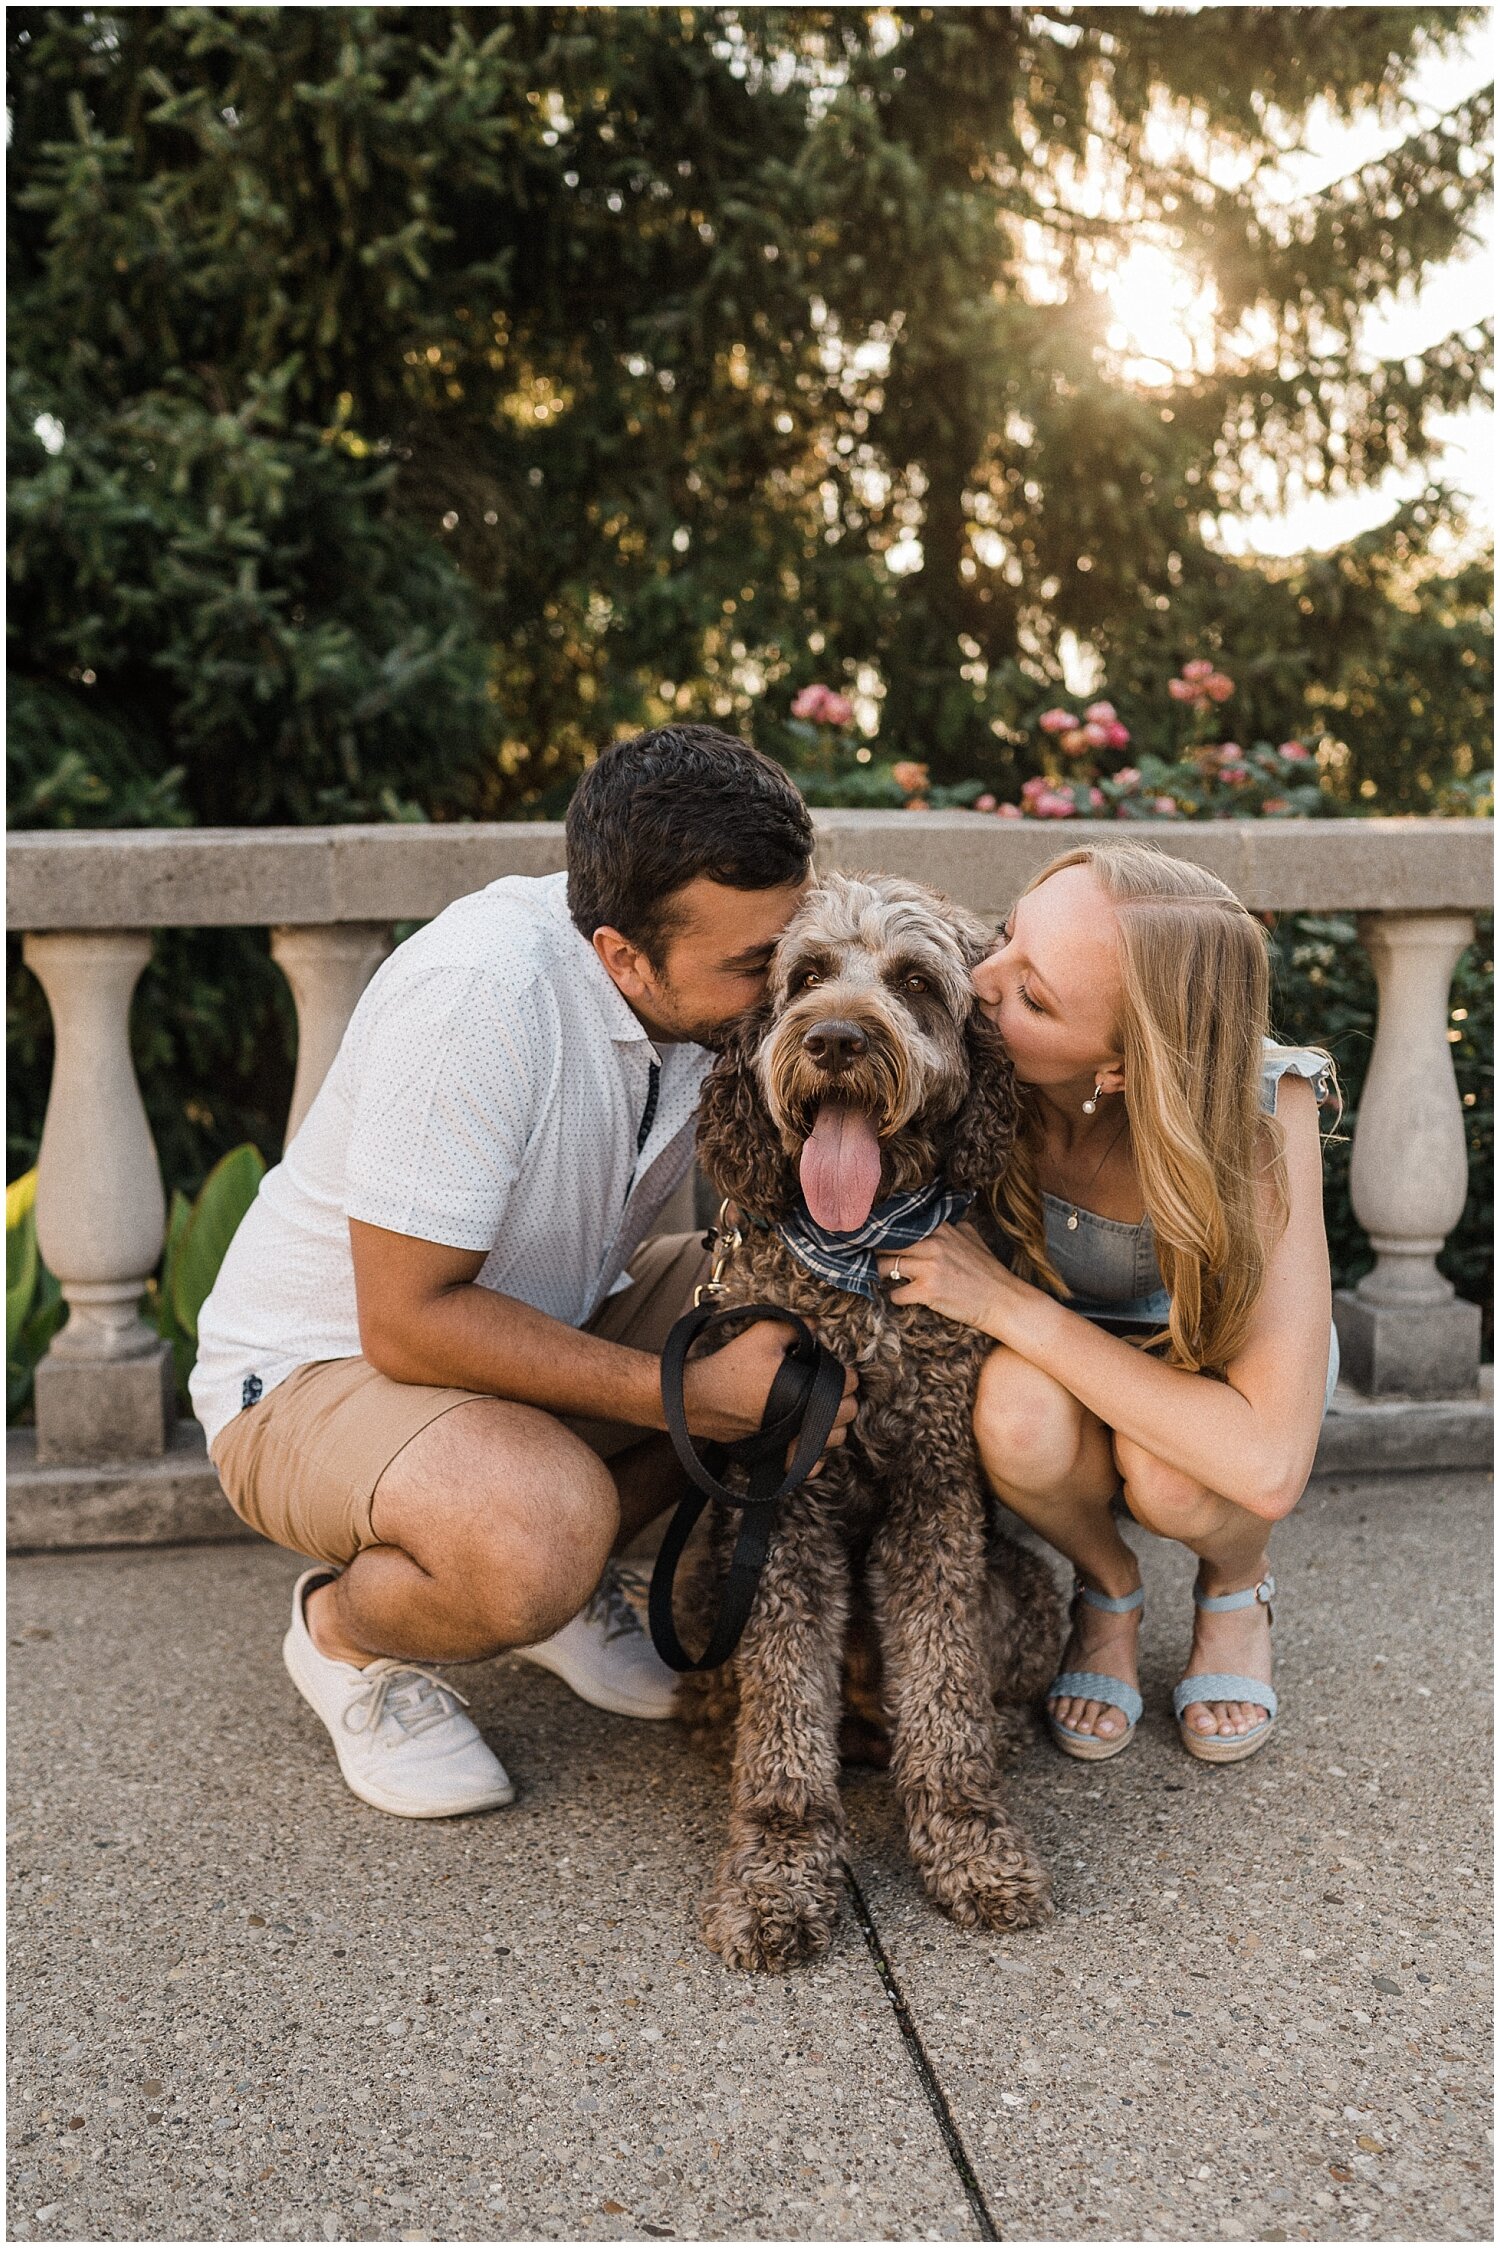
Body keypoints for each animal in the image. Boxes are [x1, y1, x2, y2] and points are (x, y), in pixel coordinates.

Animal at [674, 872, 1061, 1969]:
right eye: (805, 975)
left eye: (917, 982)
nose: (838, 1038)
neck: (858, 1272)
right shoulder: (782, 1512)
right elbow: (782, 1711)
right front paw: (777, 1871)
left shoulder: (935, 1499)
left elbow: (943, 1683)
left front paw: (970, 1840)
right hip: (703, 1573)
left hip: (1024, 1586)